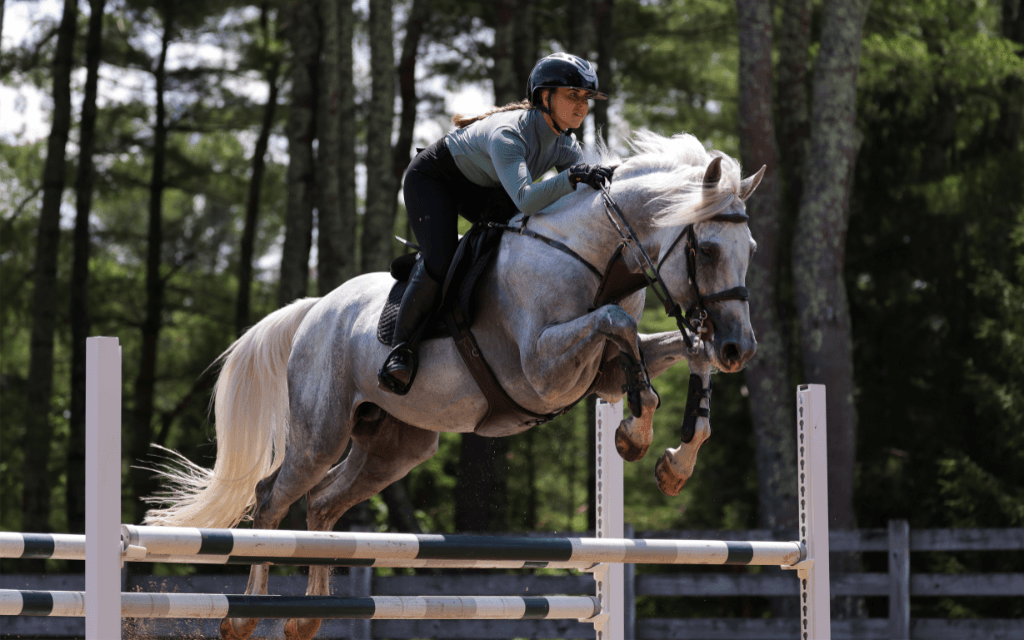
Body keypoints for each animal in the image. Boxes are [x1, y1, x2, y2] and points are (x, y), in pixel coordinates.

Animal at [142, 130, 763, 640]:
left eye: (750, 251)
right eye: (707, 249)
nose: (742, 349)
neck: (594, 256)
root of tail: (317, 308)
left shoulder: (599, 372)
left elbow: (681, 350)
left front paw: (674, 462)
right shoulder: (541, 371)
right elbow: (621, 325)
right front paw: (635, 433)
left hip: (395, 446)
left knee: (323, 505)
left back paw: (305, 619)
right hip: (320, 432)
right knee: (273, 498)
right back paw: (246, 618)